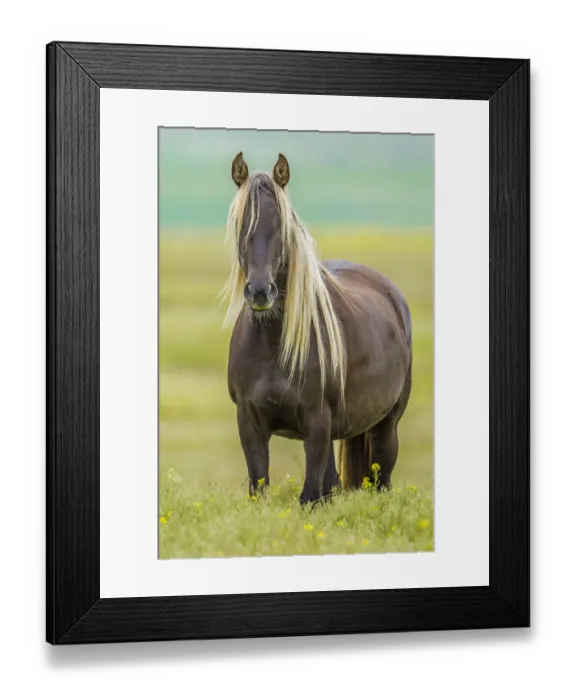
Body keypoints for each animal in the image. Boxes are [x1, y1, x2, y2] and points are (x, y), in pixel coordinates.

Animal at [221, 152, 413, 505]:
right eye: (242, 225)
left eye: (282, 227)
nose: (260, 291)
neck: (271, 347)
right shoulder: (249, 423)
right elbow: (261, 488)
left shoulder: (317, 423)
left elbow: (309, 498)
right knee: (333, 483)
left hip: (386, 425)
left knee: (381, 479)